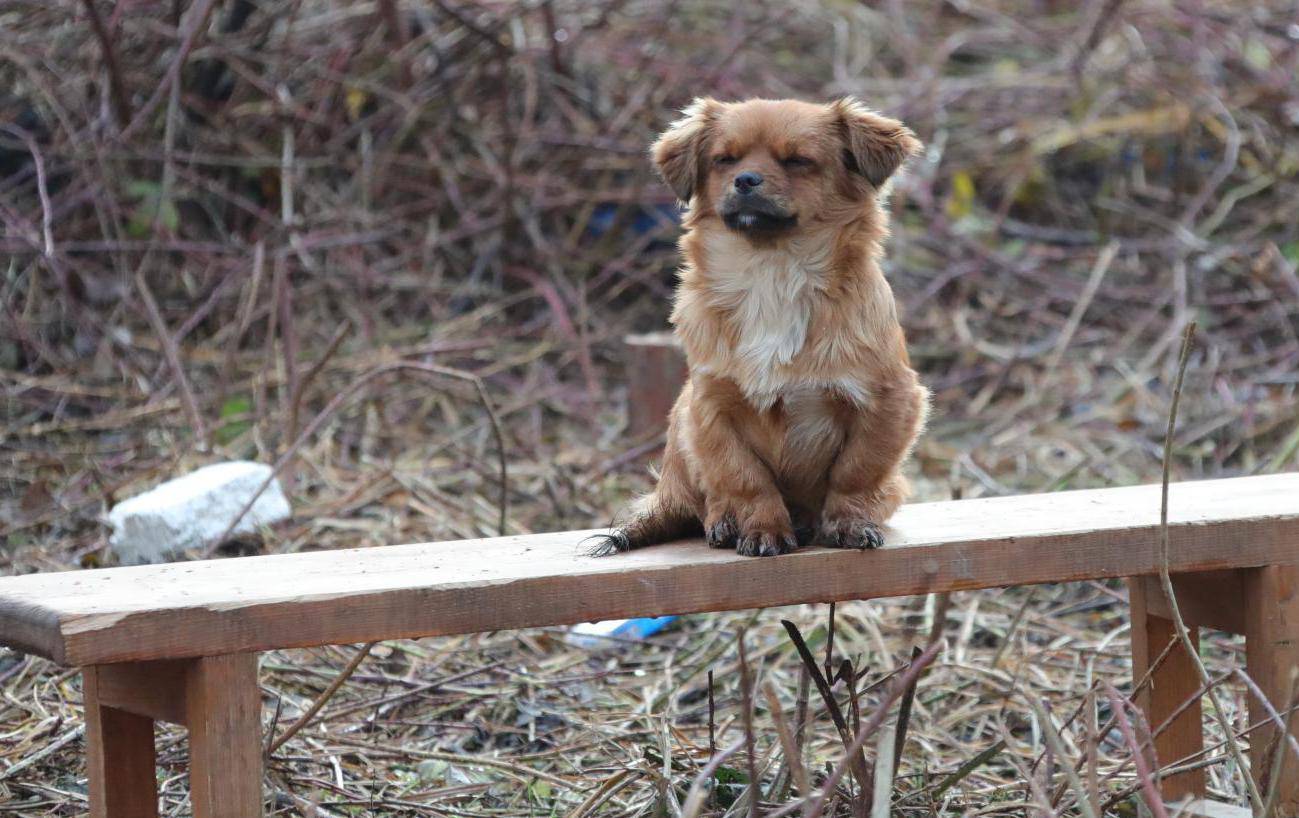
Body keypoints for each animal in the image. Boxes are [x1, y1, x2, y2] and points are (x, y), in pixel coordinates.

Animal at [594, 96, 930, 558]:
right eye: (724, 160)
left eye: (797, 161)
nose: (746, 179)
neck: (773, 271)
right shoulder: (711, 407)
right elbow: (744, 477)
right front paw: (763, 529)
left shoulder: (890, 401)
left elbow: (856, 470)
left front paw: (848, 523)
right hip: (682, 423)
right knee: (706, 501)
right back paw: (724, 523)